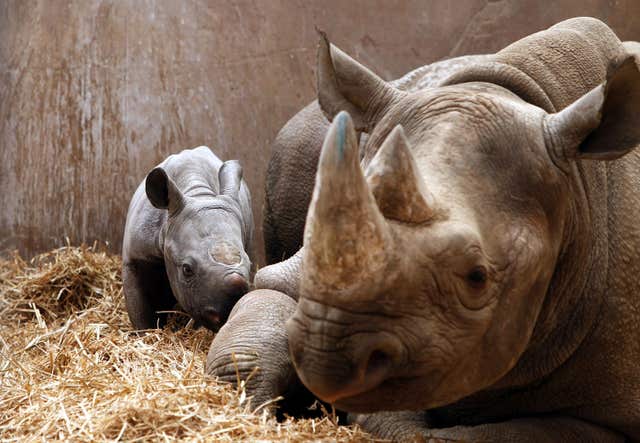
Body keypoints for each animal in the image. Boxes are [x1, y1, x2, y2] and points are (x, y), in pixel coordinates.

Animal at [122, 146, 253, 331]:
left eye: (251, 265)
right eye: (187, 269)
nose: (225, 314)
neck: (198, 194)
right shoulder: (134, 258)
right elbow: (141, 310)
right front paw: (147, 331)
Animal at [208, 17, 640, 441]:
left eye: (477, 277)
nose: (327, 354)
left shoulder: (608, 420)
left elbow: (454, 435)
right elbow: (264, 311)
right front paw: (245, 404)